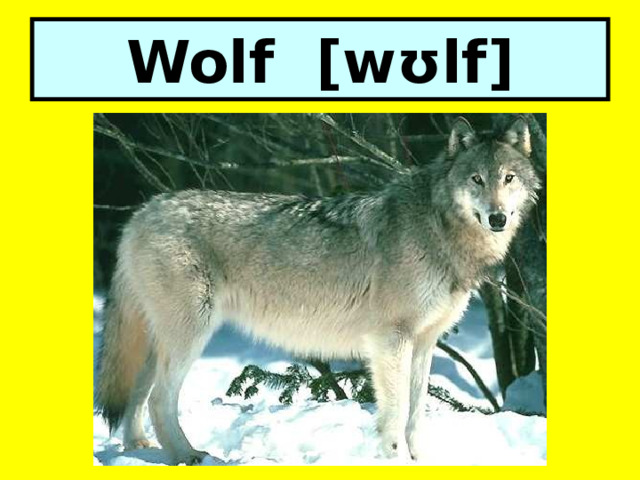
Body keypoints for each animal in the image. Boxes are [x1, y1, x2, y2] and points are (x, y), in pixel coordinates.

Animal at [95, 117, 540, 464]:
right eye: (476, 179)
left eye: (508, 179)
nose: (498, 218)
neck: (438, 227)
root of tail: (143, 211)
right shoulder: (390, 339)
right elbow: (396, 412)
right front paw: (394, 458)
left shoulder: (425, 342)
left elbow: (416, 415)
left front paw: (421, 461)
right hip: (191, 335)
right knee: (159, 398)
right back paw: (188, 456)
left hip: (161, 340)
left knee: (137, 393)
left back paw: (139, 449)